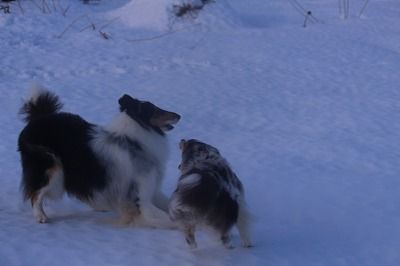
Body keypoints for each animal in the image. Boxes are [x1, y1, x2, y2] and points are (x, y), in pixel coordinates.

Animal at [17, 85, 180, 227]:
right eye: (155, 110)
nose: (179, 115)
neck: (132, 141)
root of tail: (39, 118)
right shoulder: (142, 194)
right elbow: (165, 217)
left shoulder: (152, 189)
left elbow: (170, 204)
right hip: (51, 168)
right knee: (36, 194)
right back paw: (40, 216)